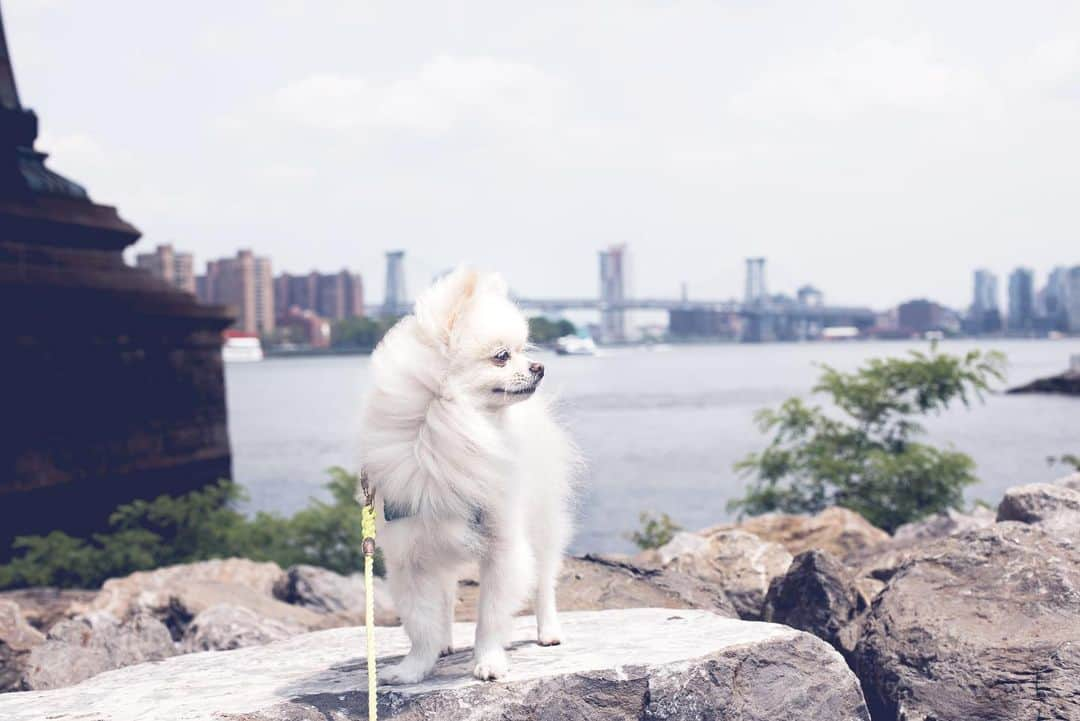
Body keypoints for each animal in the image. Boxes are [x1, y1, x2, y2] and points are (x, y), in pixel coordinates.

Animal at [358, 267, 578, 686]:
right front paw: (413, 668)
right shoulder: (410, 555)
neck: (449, 429)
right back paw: (445, 643)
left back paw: (549, 631)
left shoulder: (503, 546)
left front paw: (489, 662)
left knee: (544, 581)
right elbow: (420, 622)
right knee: (445, 598)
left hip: (542, 524)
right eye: (501, 356)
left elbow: (490, 616)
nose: (540, 367)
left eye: (523, 350)